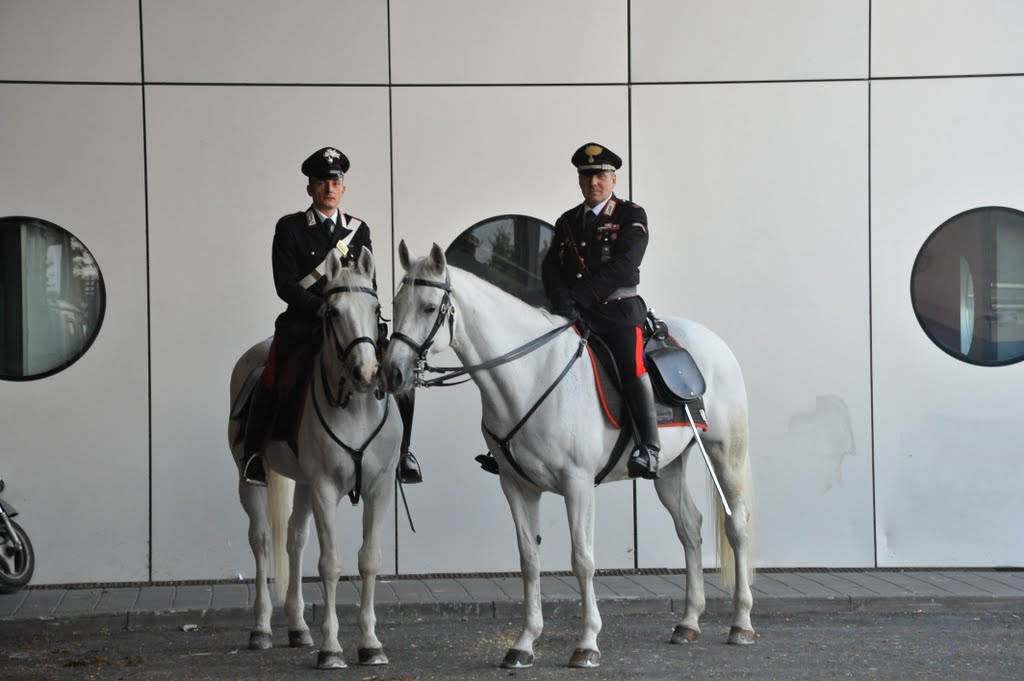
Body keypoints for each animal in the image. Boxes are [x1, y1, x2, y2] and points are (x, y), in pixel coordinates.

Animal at [227, 246, 399, 667]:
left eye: (376, 308)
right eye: (332, 312)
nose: (366, 372)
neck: (355, 405)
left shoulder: (379, 488)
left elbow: (369, 560)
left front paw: (370, 644)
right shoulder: (325, 488)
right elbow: (330, 564)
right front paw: (331, 649)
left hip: (302, 483)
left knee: (295, 540)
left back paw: (297, 627)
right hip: (249, 478)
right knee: (261, 540)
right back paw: (261, 629)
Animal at [380, 241, 757, 667]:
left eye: (430, 307)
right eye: (396, 303)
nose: (392, 372)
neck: (530, 375)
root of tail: (713, 342)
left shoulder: (578, 484)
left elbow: (582, 559)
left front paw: (587, 643)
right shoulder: (516, 486)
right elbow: (529, 560)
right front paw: (524, 643)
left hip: (726, 453)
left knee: (737, 526)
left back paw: (741, 623)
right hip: (670, 466)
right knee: (689, 527)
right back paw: (689, 622)